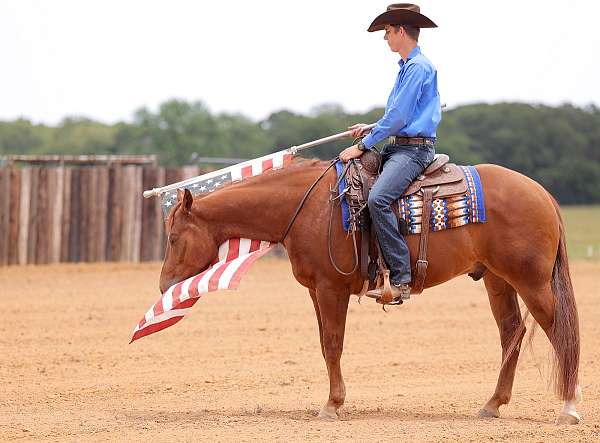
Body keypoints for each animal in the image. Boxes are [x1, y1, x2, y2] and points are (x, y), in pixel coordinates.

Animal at [159, 160, 580, 426]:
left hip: (532, 283)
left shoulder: (331, 289)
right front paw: (334, 400)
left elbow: (333, 344)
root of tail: (542, 193)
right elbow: (325, 344)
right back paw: (492, 405)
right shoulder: (316, 292)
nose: (164, 286)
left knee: (561, 333)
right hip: (498, 281)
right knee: (511, 334)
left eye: (174, 237)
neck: (310, 207)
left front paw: (332, 405)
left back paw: (569, 408)